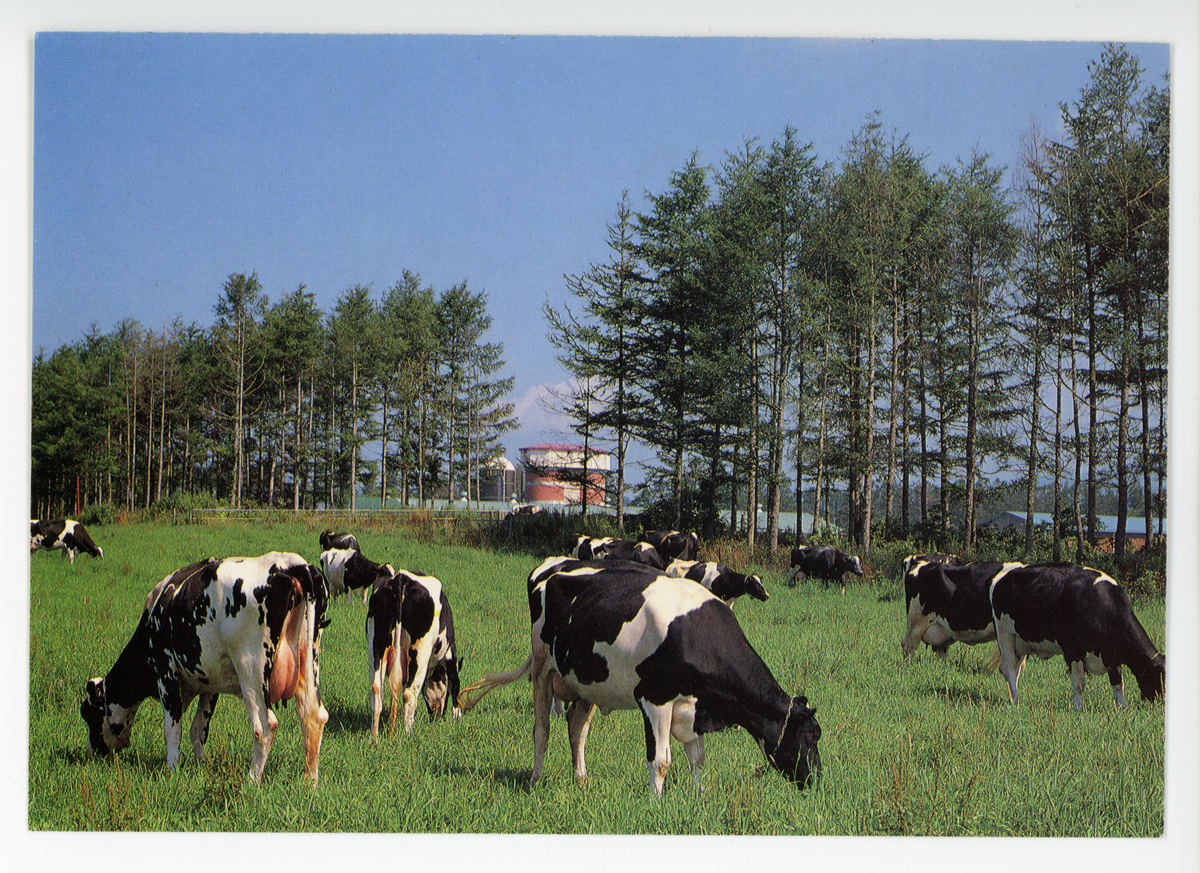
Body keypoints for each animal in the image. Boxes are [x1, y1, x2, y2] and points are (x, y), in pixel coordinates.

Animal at [79, 551, 331, 786]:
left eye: (88, 714)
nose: (91, 753)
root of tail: (290, 563)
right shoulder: (210, 683)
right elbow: (199, 728)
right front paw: (200, 765)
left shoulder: (165, 671)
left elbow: (172, 729)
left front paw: (172, 771)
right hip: (310, 660)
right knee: (313, 716)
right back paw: (310, 782)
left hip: (251, 669)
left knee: (265, 726)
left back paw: (251, 781)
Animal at [362, 566, 460, 738]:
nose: (437, 716)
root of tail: (401, 578)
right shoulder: (449, 652)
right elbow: (455, 681)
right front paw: (456, 718)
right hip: (420, 652)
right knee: (410, 693)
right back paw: (408, 735)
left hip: (376, 645)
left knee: (376, 690)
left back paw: (374, 738)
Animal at [453, 558, 820, 796]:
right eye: (811, 736)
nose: (815, 779)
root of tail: (552, 565)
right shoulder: (655, 698)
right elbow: (660, 760)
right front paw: (656, 805)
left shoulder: (694, 707)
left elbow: (697, 758)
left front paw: (698, 798)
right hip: (544, 667)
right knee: (541, 729)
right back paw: (535, 780)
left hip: (586, 680)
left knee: (576, 728)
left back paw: (582, 781)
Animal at [988, 563, 1166, 714]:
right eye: (1161, 678)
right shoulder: (1072, 650)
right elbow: (1079, 682)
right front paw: (1078, 707)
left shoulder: (1112, 654)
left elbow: (1118, 684)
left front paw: (1122, 707)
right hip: (1005, 635)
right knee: (1010, 669)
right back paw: (1016, 700)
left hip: (1021, 643)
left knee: (1016, 669)